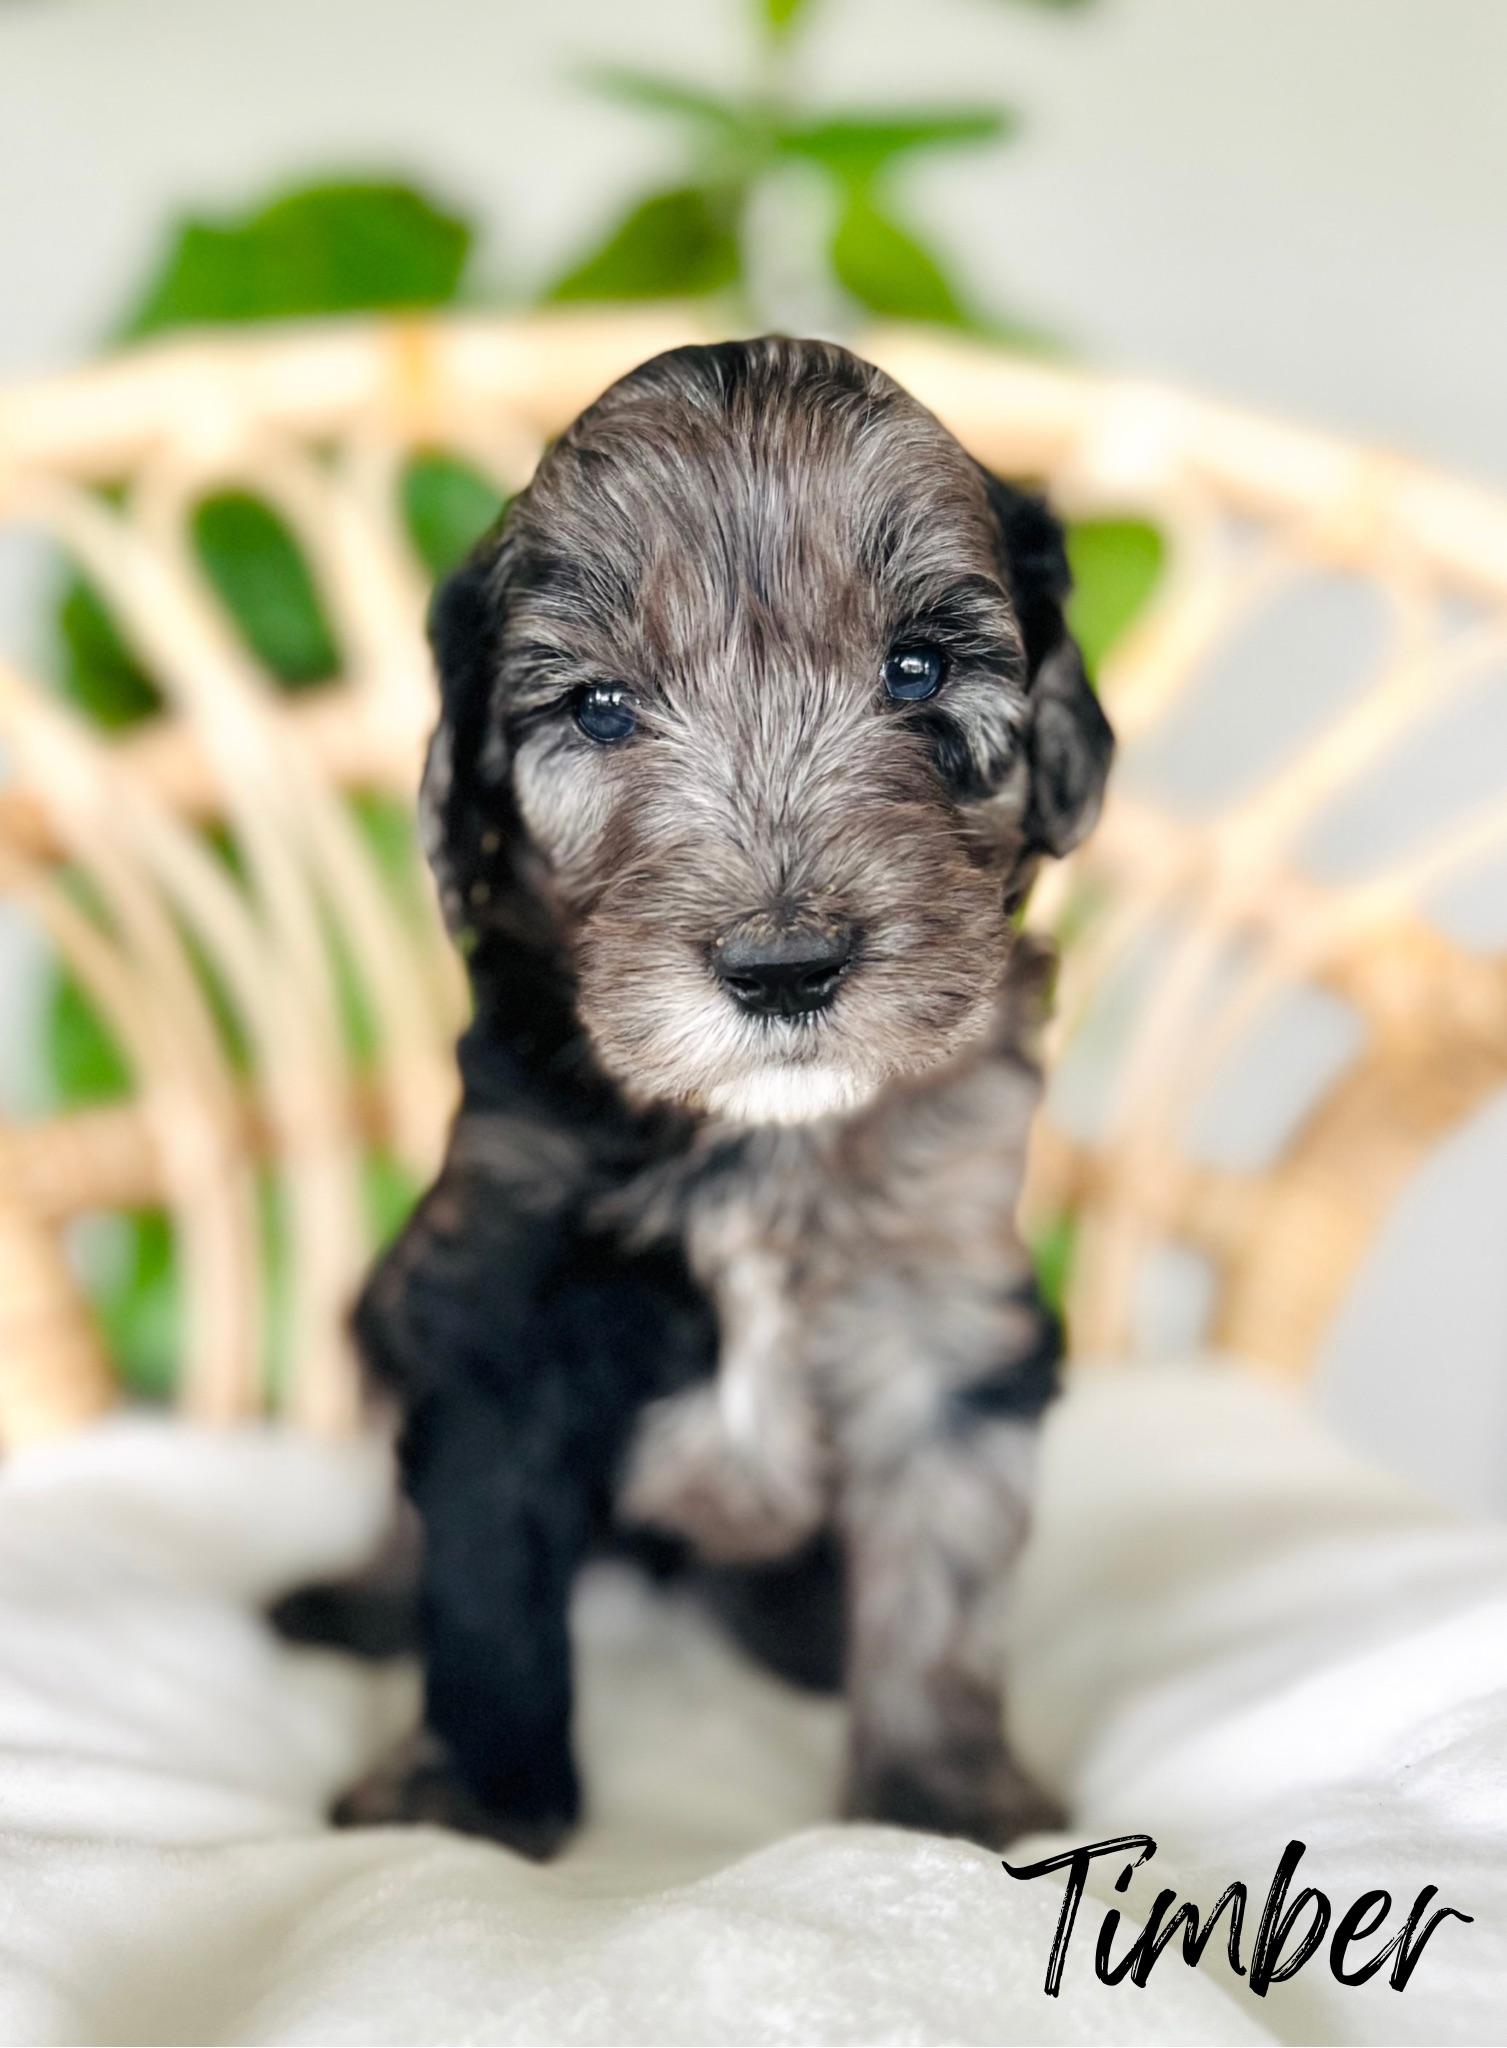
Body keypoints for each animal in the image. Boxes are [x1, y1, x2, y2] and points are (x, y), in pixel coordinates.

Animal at [283, 336, 1113, 1856]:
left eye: (915, 669)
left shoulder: (946, 1302)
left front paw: (937, 1800)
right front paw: (471, 1800)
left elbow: (944, 1566)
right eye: (600, 708)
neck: (763, 1142)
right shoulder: (496, 1306)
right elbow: (480, 1576)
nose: (784, 970)